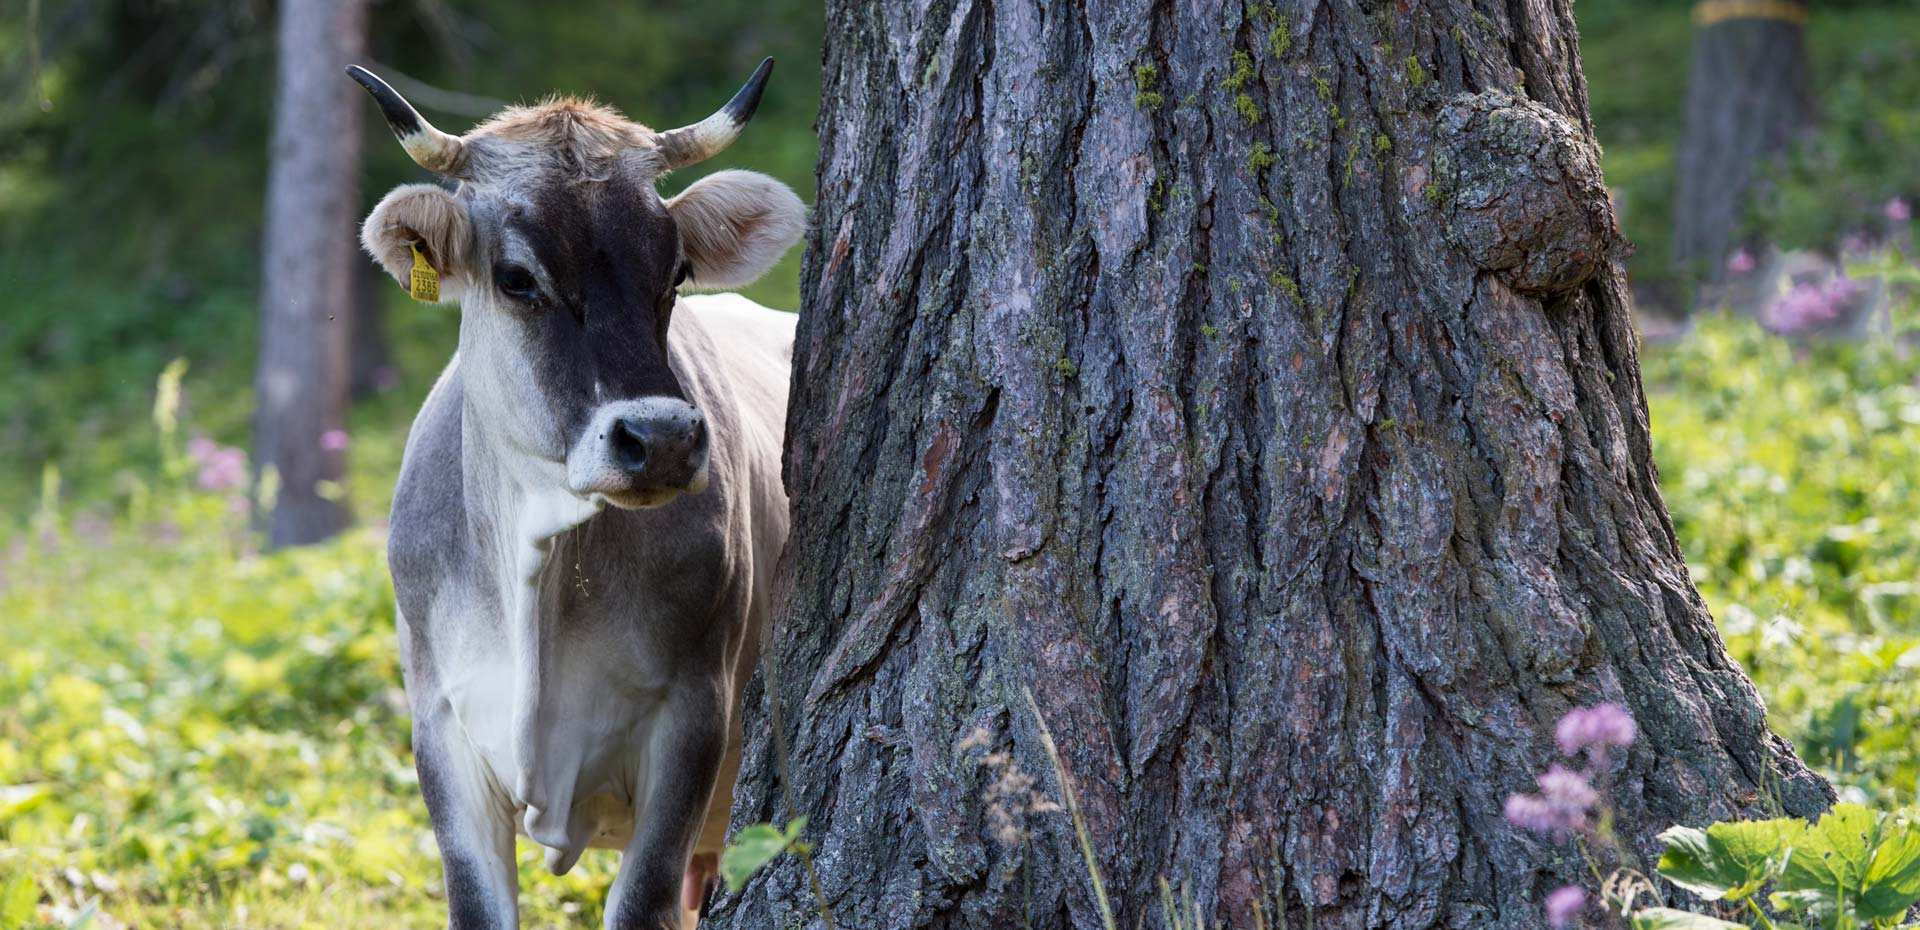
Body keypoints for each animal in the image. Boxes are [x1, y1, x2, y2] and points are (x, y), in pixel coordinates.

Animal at [351, 60, 802, 930]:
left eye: (676, 272)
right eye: (517, 279)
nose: (661, 437)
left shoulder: (691, 717)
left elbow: (642, 901)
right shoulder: (441, 727)